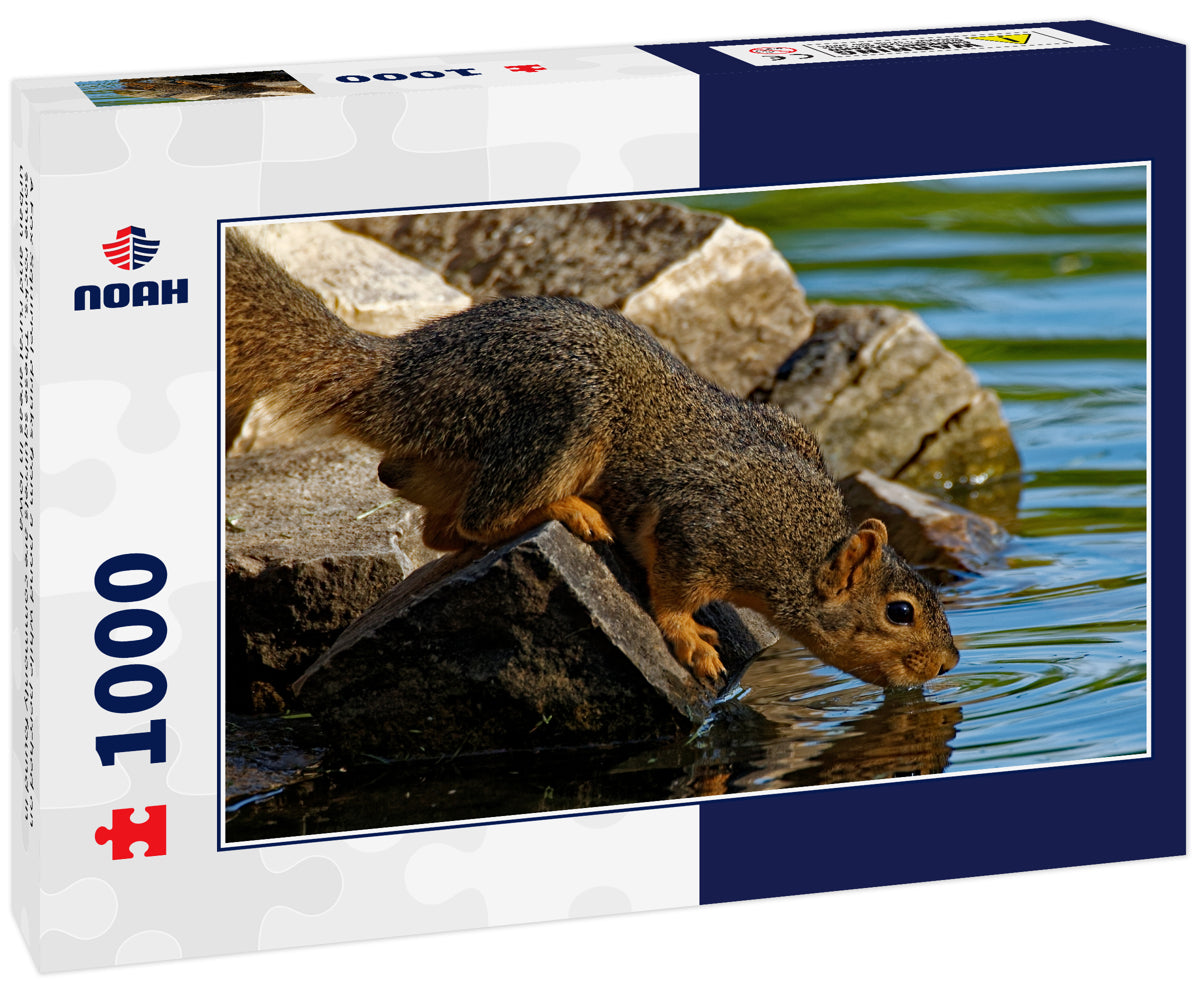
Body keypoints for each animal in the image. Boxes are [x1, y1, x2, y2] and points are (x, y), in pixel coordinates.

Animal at [225, 226, 959, 689]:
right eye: (899, 612)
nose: (949, 664)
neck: (795, 537)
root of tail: (398, 380)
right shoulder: (702, 525)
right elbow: (674, 592)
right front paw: (691, 640)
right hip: (566, 418)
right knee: (480, 517)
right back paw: (566, 511)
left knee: (434, 522)